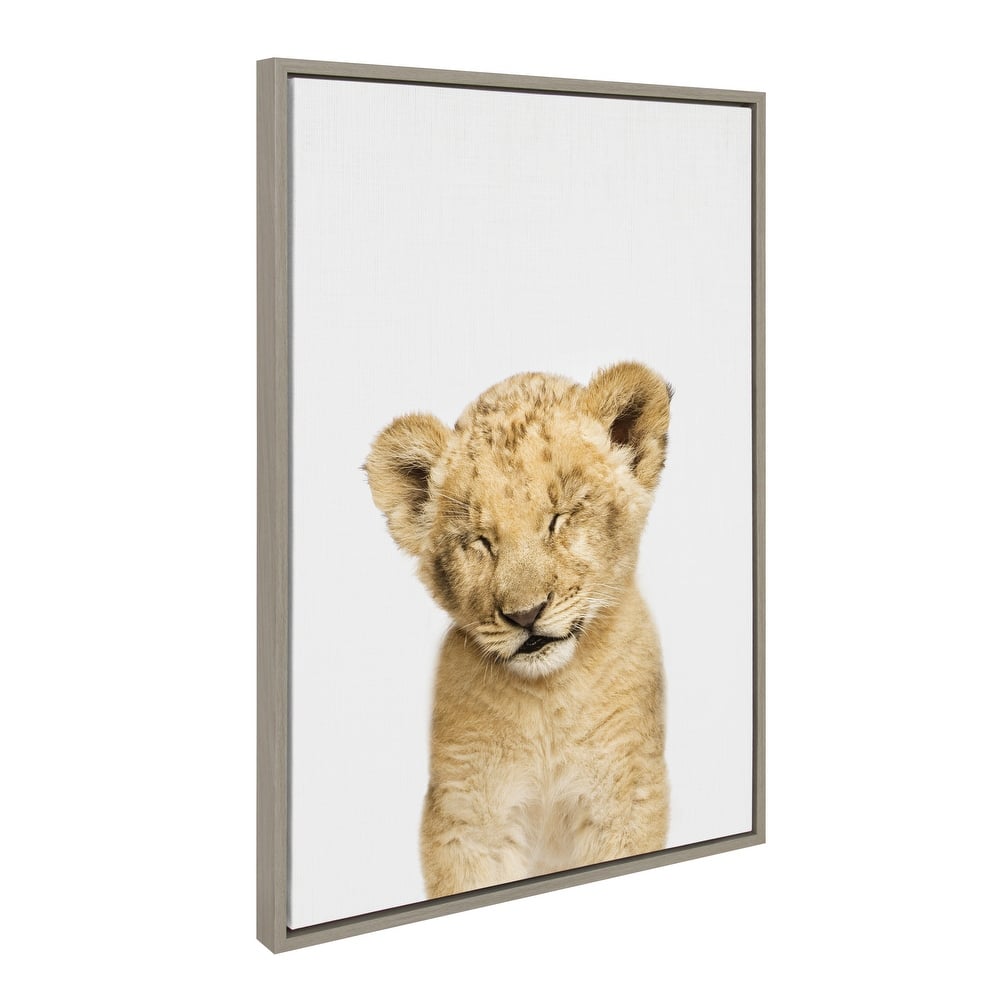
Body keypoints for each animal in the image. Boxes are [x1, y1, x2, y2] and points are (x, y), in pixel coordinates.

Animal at [365, 361, 671, 898]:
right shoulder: (466, 818)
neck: (548, 697)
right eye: (479, 541)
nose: (525, 615)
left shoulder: (627, 796)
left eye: (559, 518)